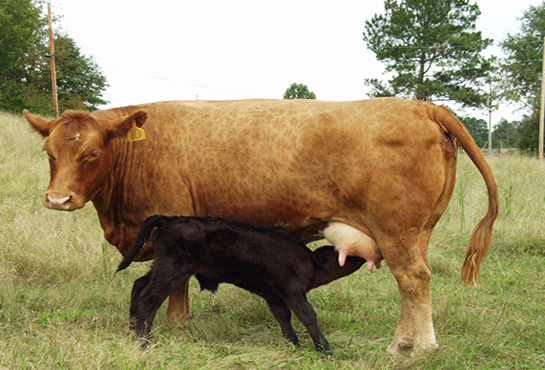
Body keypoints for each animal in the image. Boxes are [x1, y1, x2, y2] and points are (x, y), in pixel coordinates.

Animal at [118, 215, 366, 354]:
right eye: (337, 253)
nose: (363, 254)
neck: (309, 262)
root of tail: (170, 219)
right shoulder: (292, 291)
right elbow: (307, 315)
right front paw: (325, 350)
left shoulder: (274, 296)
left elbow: (283, 318)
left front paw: (294, 345)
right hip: (172, 269)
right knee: (147, 299)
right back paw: (143, 342)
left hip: (162, 266)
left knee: (138, 286)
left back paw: (132, 331)